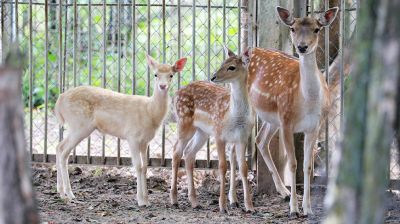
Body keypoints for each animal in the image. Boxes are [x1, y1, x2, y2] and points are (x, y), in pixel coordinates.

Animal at [54, 54, 188, 206]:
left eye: (171, 75)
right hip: (79, 124)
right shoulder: (132, 137)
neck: (150, 112)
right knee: (63, 151)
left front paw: (147, 200)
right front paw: (140, 201)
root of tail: (59, 102)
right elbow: (138, 166)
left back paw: (62, 192)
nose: (163, 86)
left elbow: (145, 167)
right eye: (155, 74)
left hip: (77, 126)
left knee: (59, 147)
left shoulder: (145, 141)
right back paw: (68, 194)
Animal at [170, 47, 253, 214]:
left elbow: (244, 168)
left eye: (231, 67)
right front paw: (223, 206)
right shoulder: (219, 134)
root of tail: (175, 94)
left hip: (201, 132)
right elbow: (222, 166)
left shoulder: (242, 137)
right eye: (222, 63)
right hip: (184, 123)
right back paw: (174, 200)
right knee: (176, 152)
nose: (213, 76)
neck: (234, 115)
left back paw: (195, 202)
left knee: (189, 154)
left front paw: (250, 207)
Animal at [248, 7, 340, 217]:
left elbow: (307, 166)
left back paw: (283, 191)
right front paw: (294, 210)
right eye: (292, 28)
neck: (307, 102)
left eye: (316, 29)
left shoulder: (314, 127)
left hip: (273, 118)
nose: (302, 47)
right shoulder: (287, 122)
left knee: (260, 139)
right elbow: (292, 163)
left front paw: (308, 209)